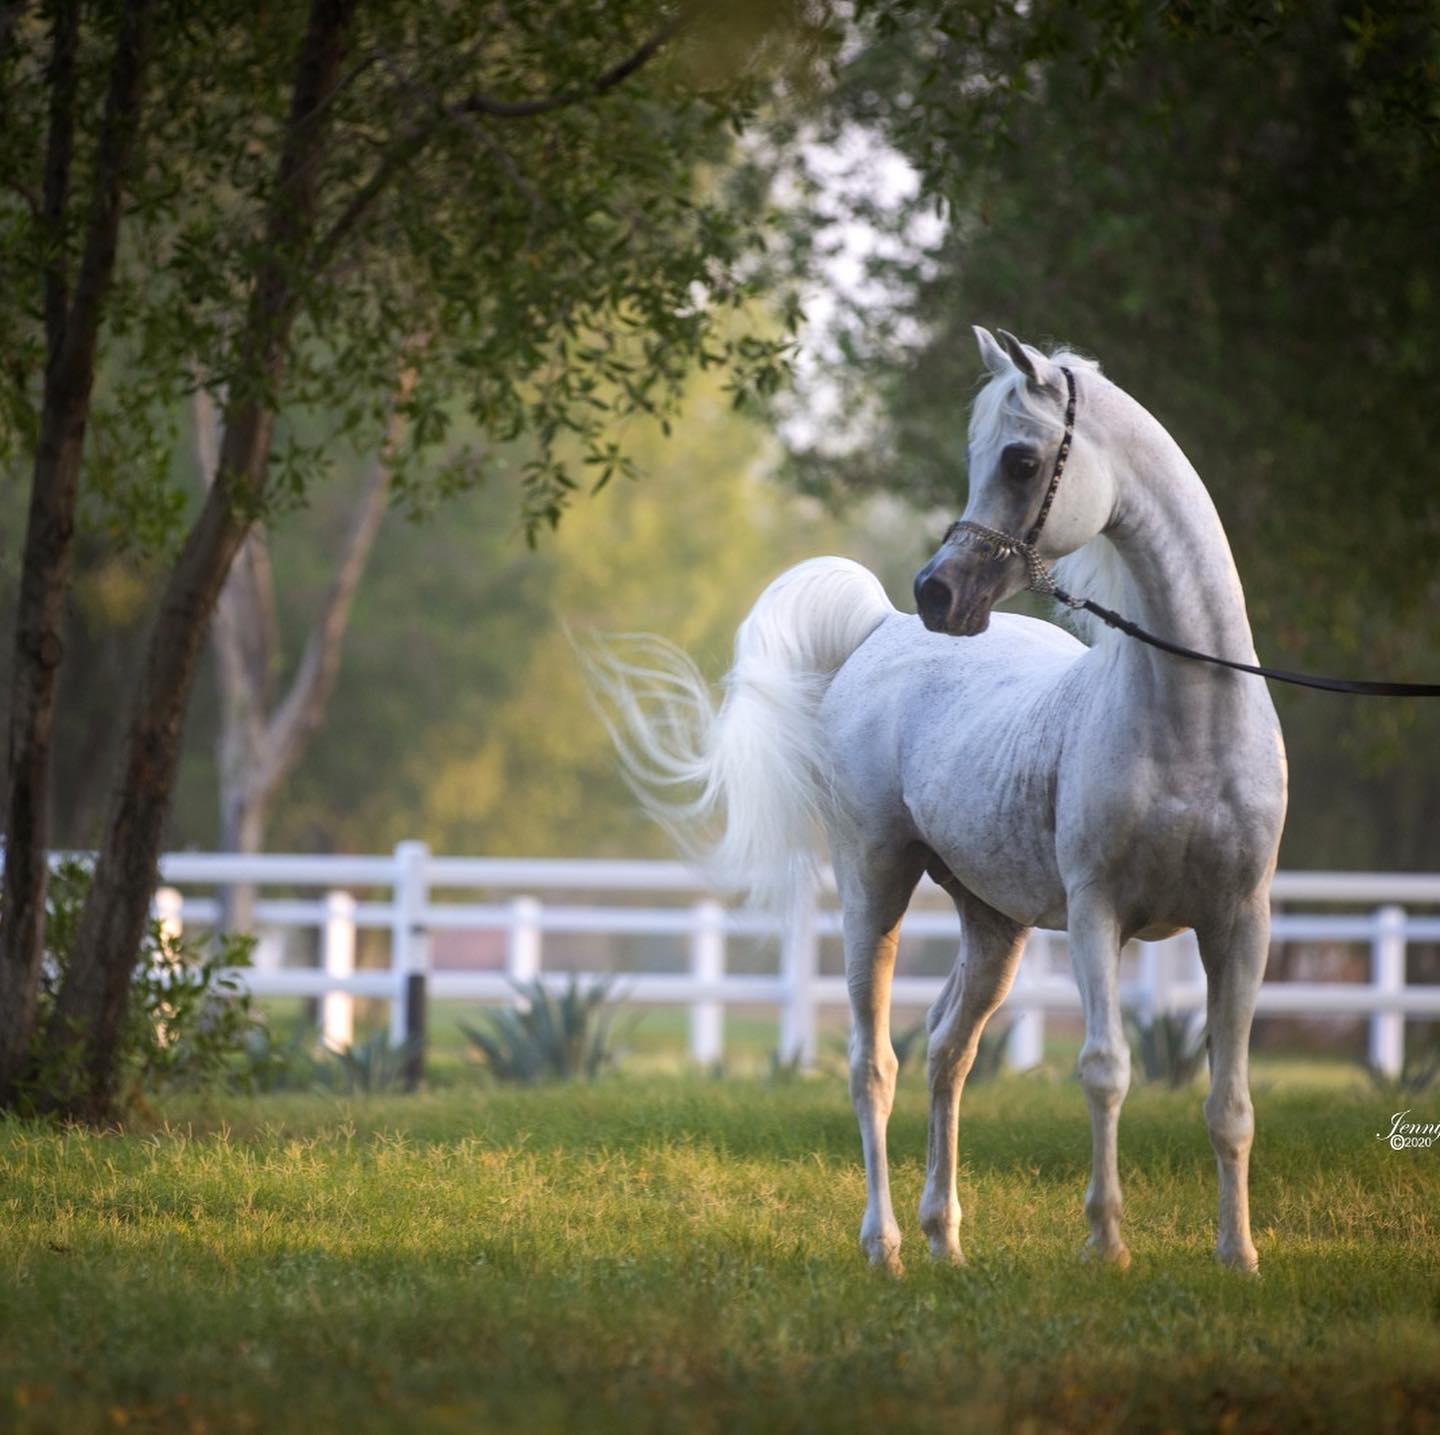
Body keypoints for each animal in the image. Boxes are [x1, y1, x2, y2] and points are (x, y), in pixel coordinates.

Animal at [590, 331, 1290, 1272]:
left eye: (1021, 459)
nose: (937, 592)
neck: (1190, 721)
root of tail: (879, 628)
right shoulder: (1099, 913)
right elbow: (1105, 1069)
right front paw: (1106, 1243)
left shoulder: (1240, 923)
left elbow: (1230, 1100)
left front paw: (1238, 1254)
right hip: (873, 886)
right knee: (874, 1063)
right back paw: (884, 1243)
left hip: (994, 925)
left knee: (947, 1052)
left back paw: (944, 1239)